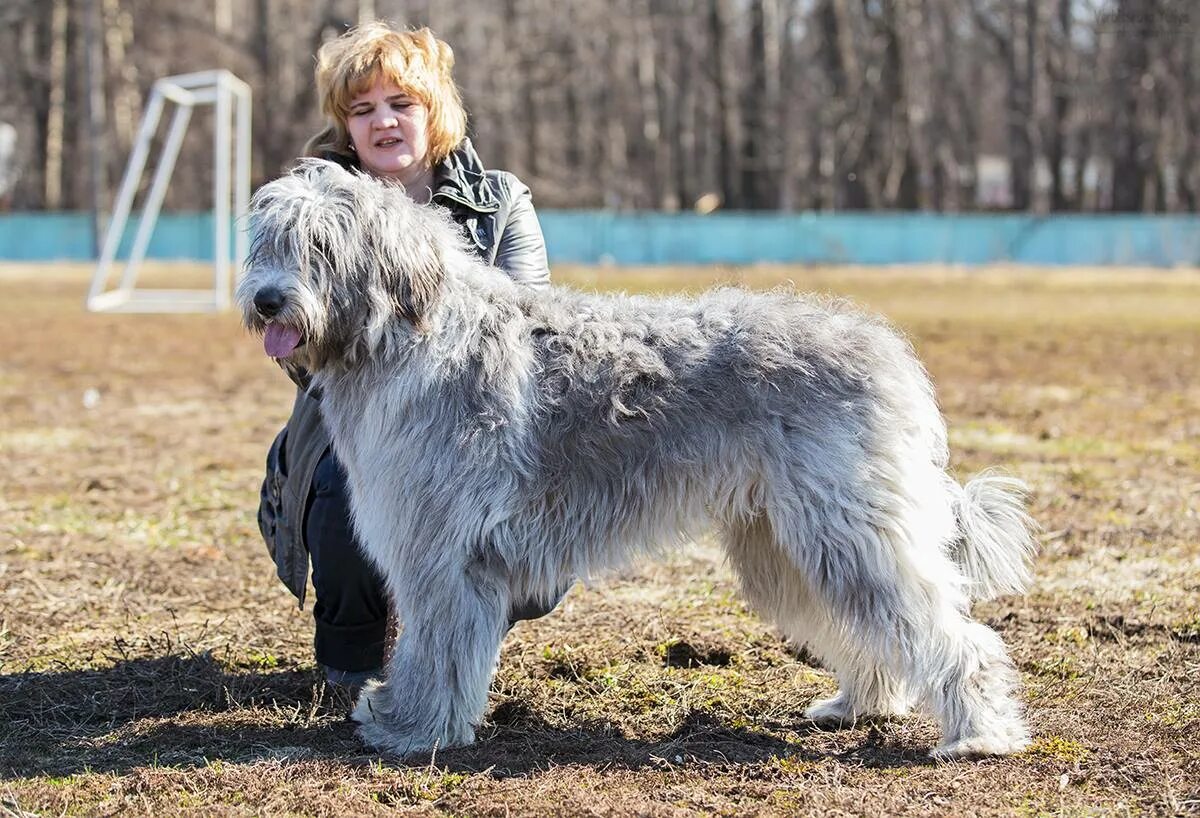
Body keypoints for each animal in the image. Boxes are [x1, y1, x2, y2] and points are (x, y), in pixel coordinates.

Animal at [238, 157, 1036, 758]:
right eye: (268, 241)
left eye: (321, 246)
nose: (267, 300)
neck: (410, 331)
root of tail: (886, 351)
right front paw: (407, 717)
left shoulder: (442, 553)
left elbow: (434, 650)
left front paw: (412, 728)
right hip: (789, 543)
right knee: (869, 629)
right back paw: (861, 703)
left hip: (847, 530)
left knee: (951, 633)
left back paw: (979, 736)